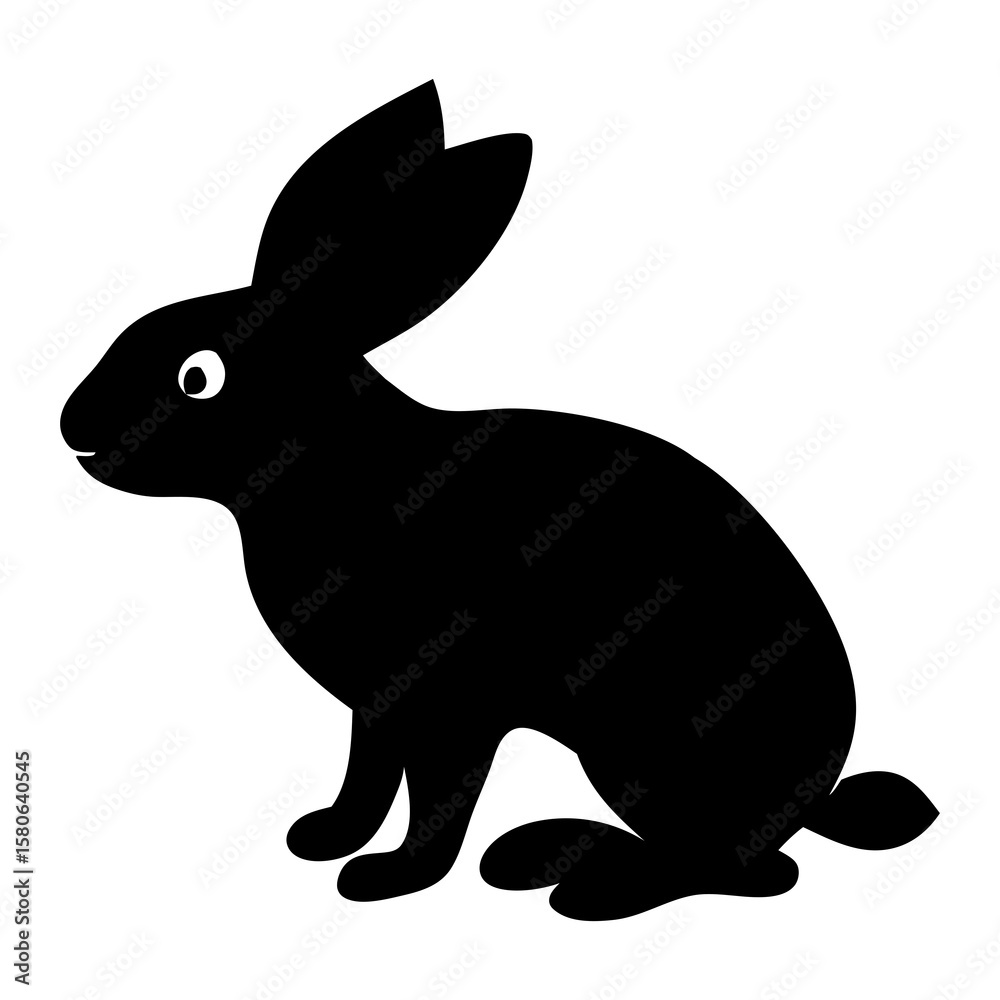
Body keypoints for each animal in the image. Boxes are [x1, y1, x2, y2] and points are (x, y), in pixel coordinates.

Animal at [60, 80, 938, 920]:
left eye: (197, 376)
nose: (72, 423)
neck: (337, 474)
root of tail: (818, 791)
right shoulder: (378, 707)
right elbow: (365, 775)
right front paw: (324, 837)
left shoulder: (453, 705)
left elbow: (438, 798)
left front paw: (388, 878)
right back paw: (542, 854)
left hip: (638, 748)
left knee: (752, 871)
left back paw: (591, 886)